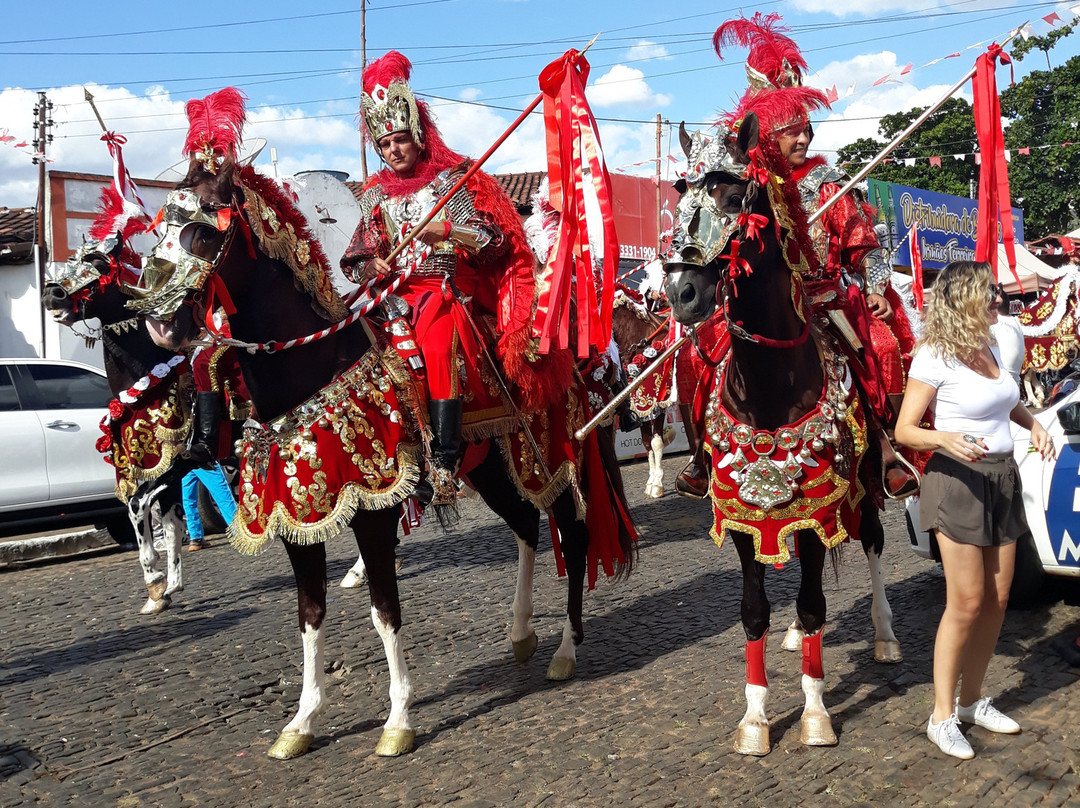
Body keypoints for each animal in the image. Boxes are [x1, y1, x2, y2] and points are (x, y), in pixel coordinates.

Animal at [127, 147, 635, 760]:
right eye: (158, 228)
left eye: (203, 228)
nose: (160, 325)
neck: (313, 369)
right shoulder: (300, 519)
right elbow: (310, 615)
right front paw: (302, 721)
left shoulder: (372, 510)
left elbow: (384, 612)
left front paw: (398, 719)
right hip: (492, 472)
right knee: (525, 530)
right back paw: (521, 633)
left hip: (546, 463)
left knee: (573, 534)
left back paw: (565, 648)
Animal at [660, 107, 898, 756]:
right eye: (680, 192)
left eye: (733, 193)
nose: (681, 292)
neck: (770, 386)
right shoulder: (745, 519)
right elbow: (754, 611)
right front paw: (755, 719)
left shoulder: (821, 509)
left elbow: (815, 603)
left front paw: (815, 714)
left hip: (869, 482)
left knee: (872, 543)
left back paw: (885, 635)